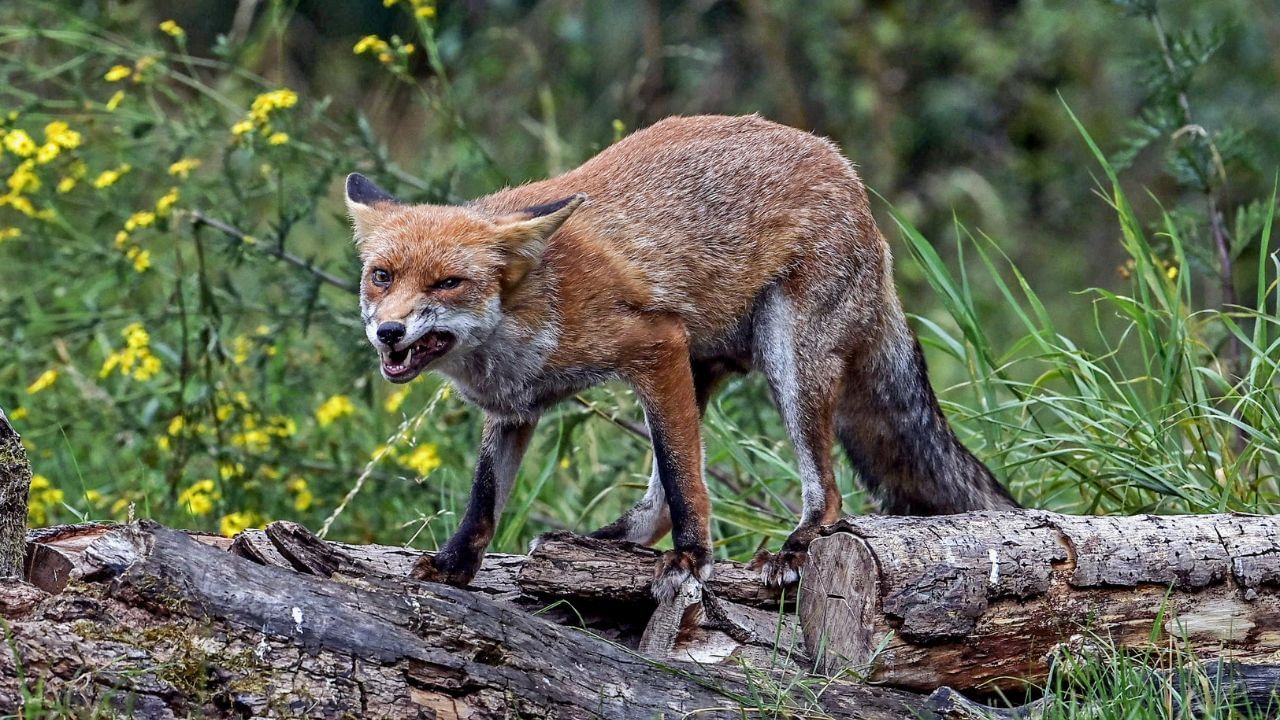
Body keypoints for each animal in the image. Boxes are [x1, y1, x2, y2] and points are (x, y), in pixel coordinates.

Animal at [343, 113, 1018, 599]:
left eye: (447, 284)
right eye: (382, 276)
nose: (390, 333)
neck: (526, 310)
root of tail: (844, 168)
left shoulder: (654, 342)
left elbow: (683, 476)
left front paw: (693, 560)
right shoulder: (514, 408)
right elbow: (484, 499)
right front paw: (453, 566)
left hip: (787, 364)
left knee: (824, 494)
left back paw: (796, 545)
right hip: (702, 369)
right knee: (661, 498)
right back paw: (606, 542)